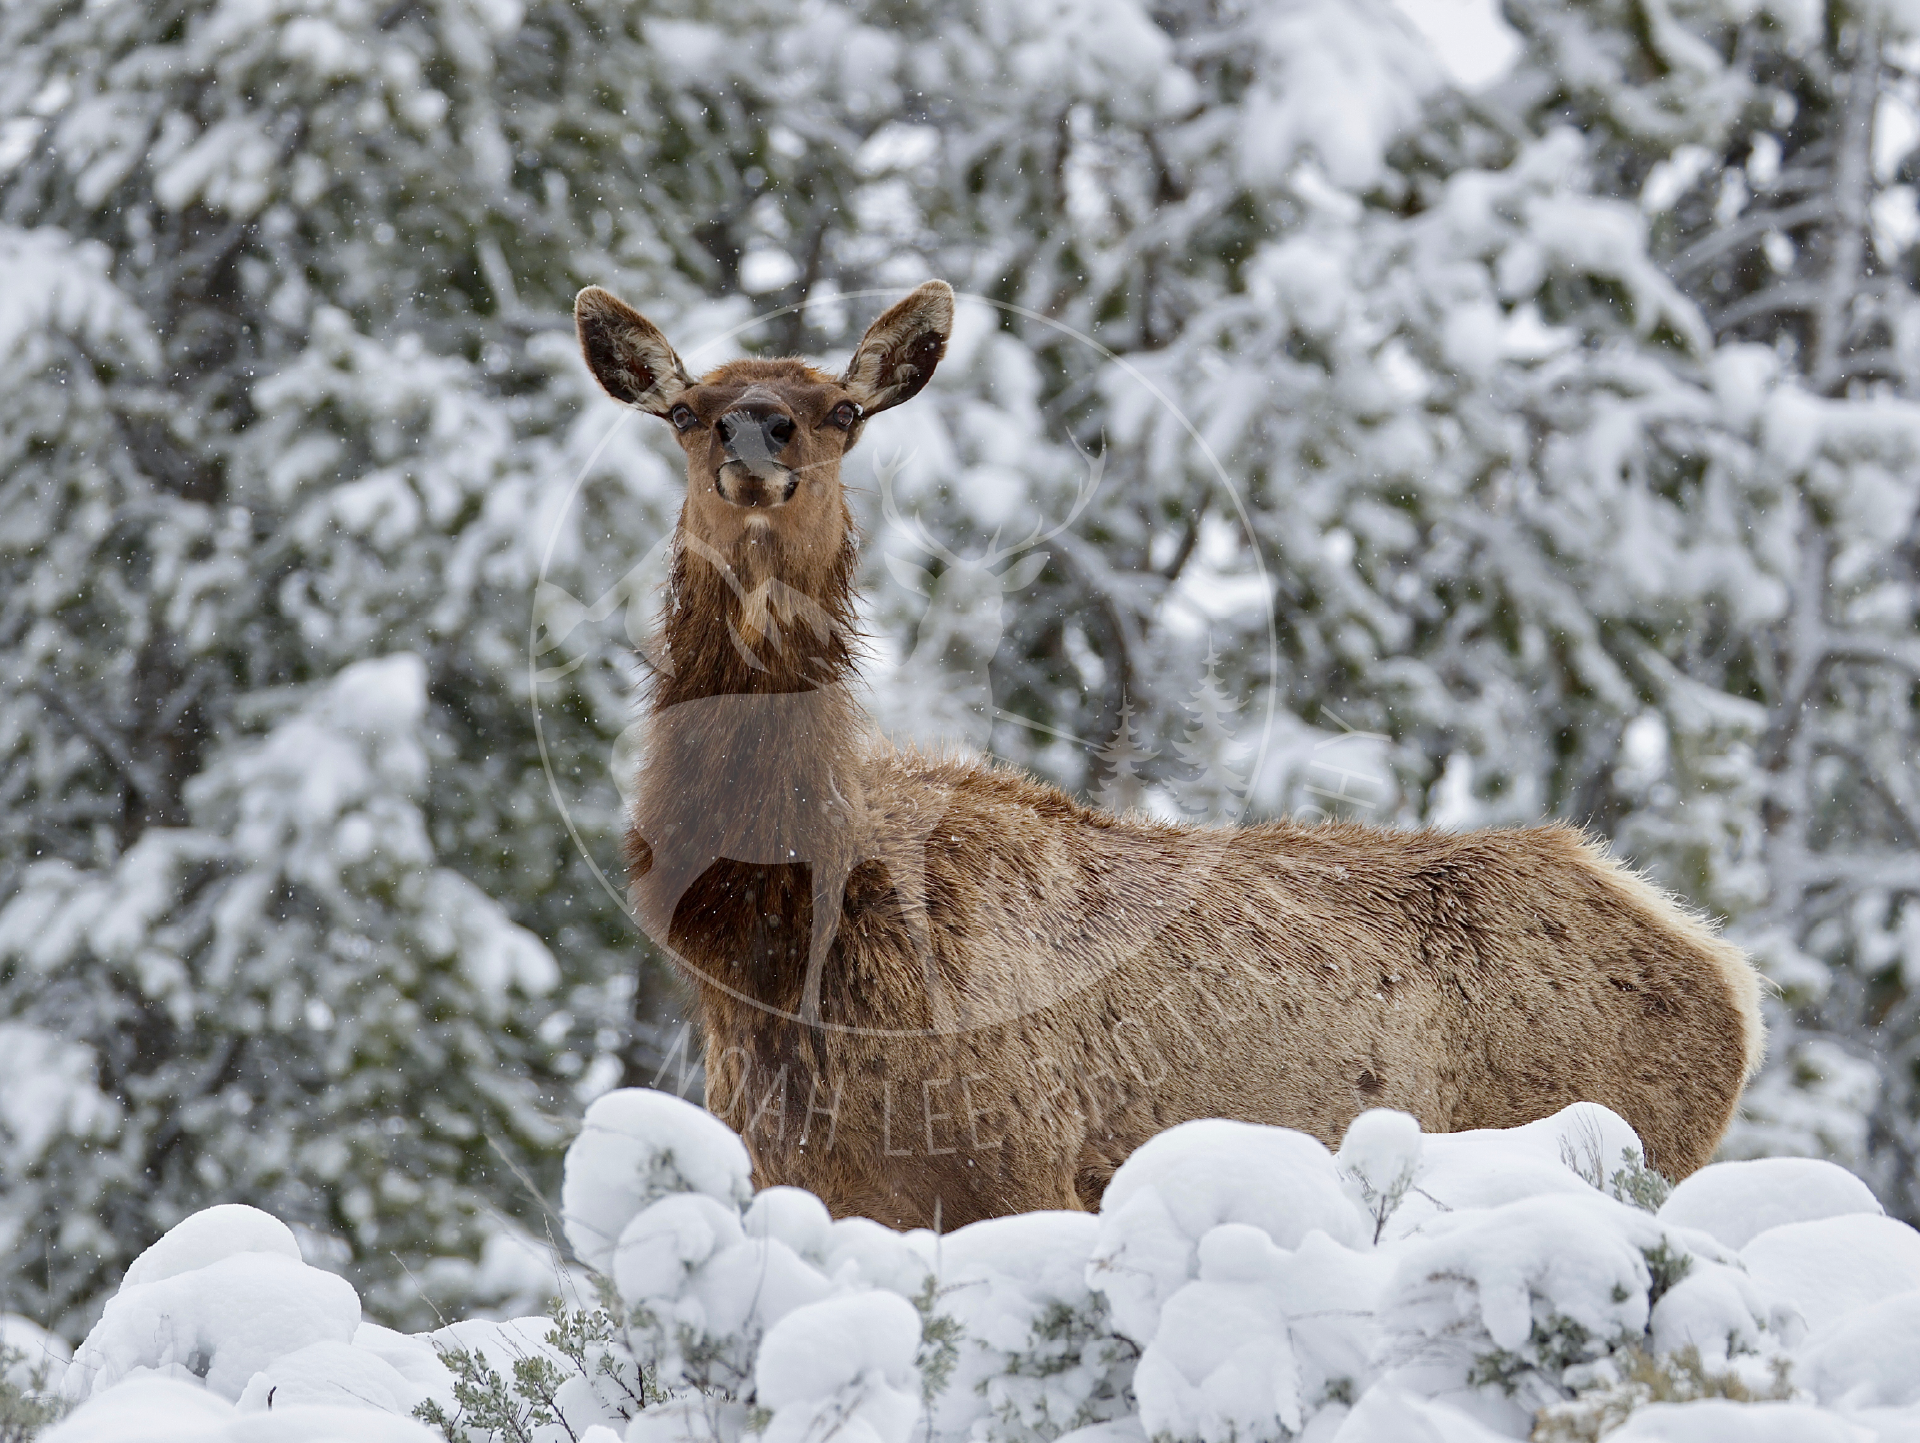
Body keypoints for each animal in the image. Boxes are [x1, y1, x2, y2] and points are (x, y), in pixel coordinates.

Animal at [574, 278, 1765, 1230]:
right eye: (684, 410)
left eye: (843, 410)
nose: (756, 433)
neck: (778, 937)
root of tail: (1726, 977)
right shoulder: (804, 1172)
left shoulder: (1019, 1166)